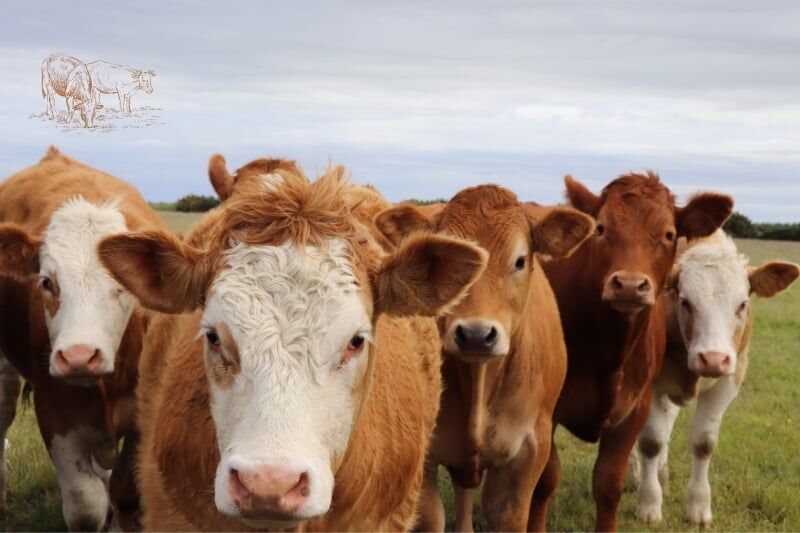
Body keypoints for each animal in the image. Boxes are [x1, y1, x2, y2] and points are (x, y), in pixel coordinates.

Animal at [0, 147, 165, 532]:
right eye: (47, 282)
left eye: (121, 287)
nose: (78, 356)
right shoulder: (58, 414)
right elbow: (85, 505)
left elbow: (125, 493)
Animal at [528, 172, 736, 528]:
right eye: (600, 229)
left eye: (669, 234)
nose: (628, 285)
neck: (611, 352)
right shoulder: (546, 410)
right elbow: (545, 480)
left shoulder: (634, 410)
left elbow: (609, 484)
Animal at [636, 232, 800, 524]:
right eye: (685, 301)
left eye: (743, 304)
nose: (712, 358)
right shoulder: (649, 383)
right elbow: (651, 441)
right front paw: (649, 504)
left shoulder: (729, 380)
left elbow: (703, 443)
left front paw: (698, 507)